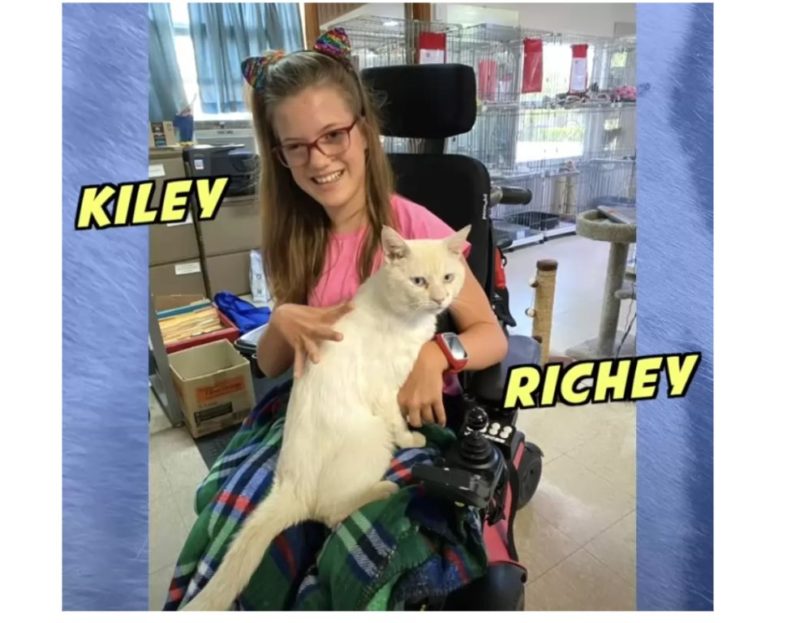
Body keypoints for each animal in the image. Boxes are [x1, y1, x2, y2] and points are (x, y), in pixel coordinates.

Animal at [180, 227, 468, 612]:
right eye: (418, 281)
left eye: (448, 278)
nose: (439, 299)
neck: (400, 312)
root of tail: (292, 487)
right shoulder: (384, 390)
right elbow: (399, 421)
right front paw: (411, 437)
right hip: (373, 439)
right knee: (331, 513)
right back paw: (383, 489)